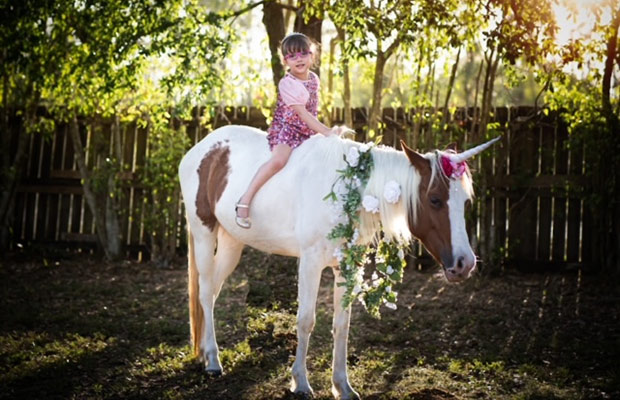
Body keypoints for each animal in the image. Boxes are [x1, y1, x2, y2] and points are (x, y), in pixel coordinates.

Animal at [179, 126, 498, 400]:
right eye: (434, 200)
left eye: (465, 201)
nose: (465, 263)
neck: (348, 189)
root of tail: (201, 150)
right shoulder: (309, 263)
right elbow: (306, 320)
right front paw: (300, 382)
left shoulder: (346, 267)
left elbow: (342, 324)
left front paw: (342, 385)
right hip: (204, 233)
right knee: (205, 292)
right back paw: (213, 360)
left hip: (232, 243)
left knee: (213, 292)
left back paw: (206, 352)